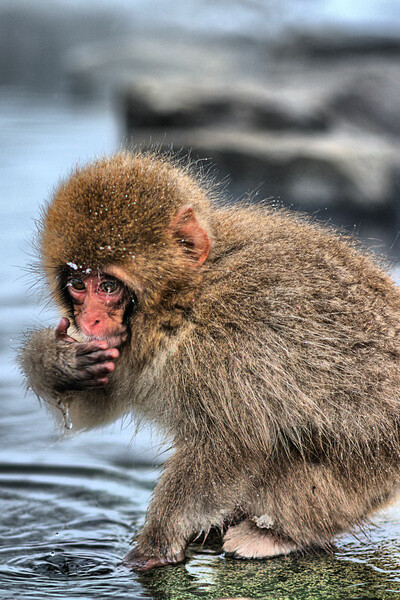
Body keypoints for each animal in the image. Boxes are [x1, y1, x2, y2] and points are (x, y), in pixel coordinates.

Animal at [20, 150, 400, 568]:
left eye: (107, 287)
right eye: (77, 285)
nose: (90, 320)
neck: (186, 300)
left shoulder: (228, 345)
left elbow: (231, 444)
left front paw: (158, 540)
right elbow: (96, 404)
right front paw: (57, 362)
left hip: (369, 470)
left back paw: (275, 534)